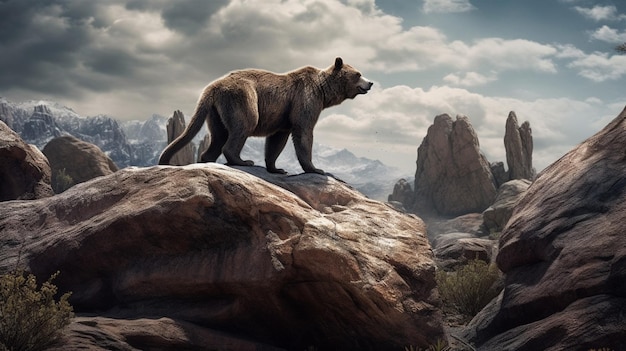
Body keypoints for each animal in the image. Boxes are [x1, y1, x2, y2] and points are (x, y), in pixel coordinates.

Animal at [157, 56, 370, 176]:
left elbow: (277, 141)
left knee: (218, 135)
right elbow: (304, 132)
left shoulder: (283, 115)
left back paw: (207, 159)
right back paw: (242, 160)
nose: (370, 83)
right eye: (358, 74)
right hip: (242, 96)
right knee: (243, 125)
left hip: (215, 112)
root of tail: (212, 87)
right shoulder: (305, 99)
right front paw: (316, 169)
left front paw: (277, 168)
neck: (323, 91)